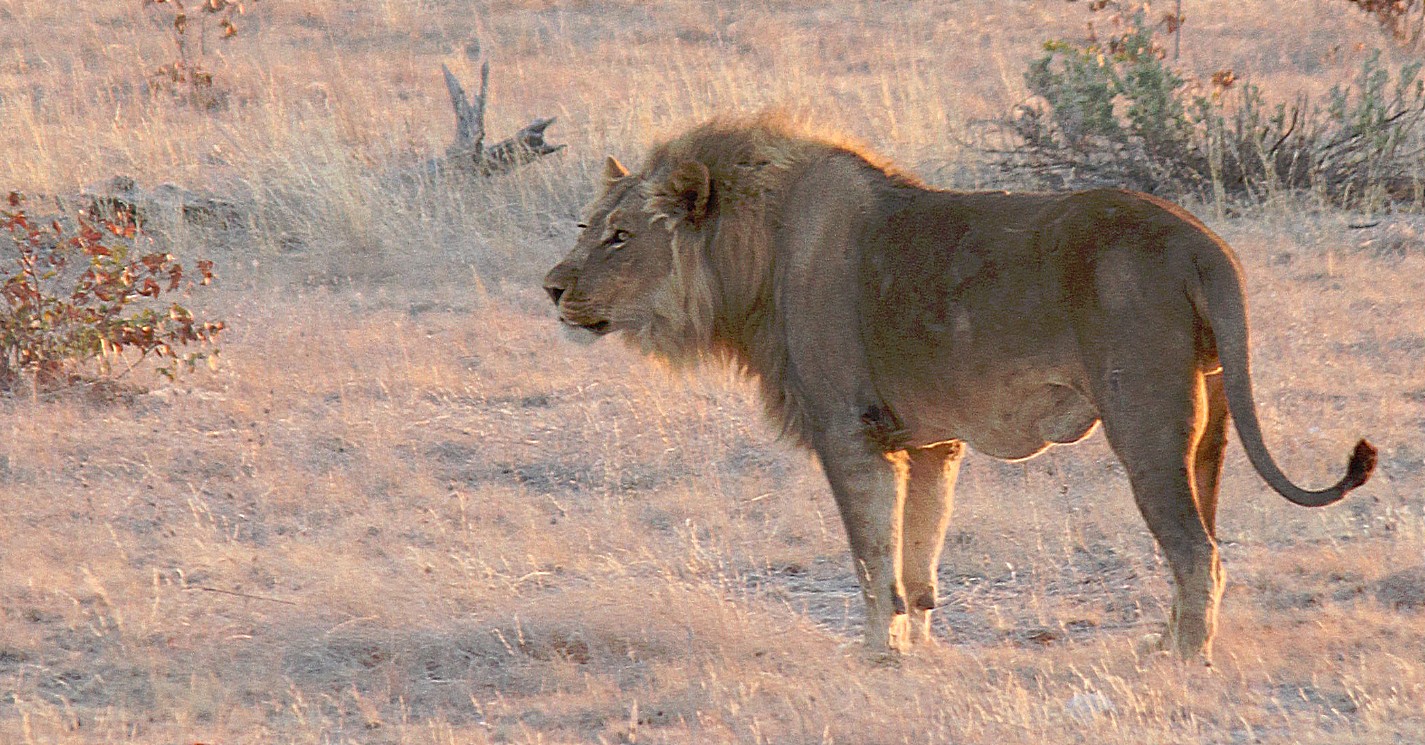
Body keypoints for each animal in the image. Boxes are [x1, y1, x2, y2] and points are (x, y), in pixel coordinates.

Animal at [538, 113, 1373, 660]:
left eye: (619, 237)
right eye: (585, 226)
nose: (550, 288)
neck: (751, 257)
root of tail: (1199, 241)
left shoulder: (848, 431)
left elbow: (869, 557)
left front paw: (874, 655)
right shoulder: (928, 440)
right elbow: (918, 557)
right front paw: (919, 646)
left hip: (1143, 417)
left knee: (1195, 550)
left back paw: (1180, 659)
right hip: (1208, 421)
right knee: (1203, 540)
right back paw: (1165, 639)